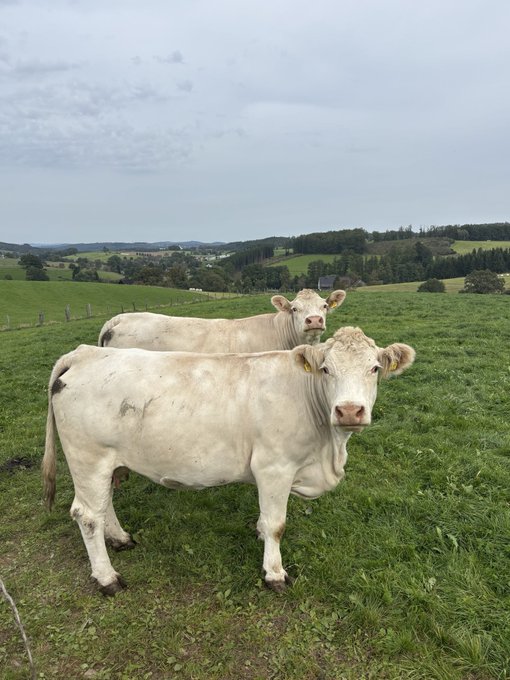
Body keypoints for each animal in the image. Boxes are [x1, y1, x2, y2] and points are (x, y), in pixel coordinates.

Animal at [42, 327, 415, 595]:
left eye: (374, 368)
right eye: (325, 369)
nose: (350, 411)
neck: (329, 449)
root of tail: (85, 353)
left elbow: (266, 520)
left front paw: (261, 536)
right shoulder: (274, 467)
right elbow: (277, 524)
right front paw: (274, 574)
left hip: (104, 463)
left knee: (104, 503)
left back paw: (120, 538)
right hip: (88, 457)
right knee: (87, 515)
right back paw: (107, 578)